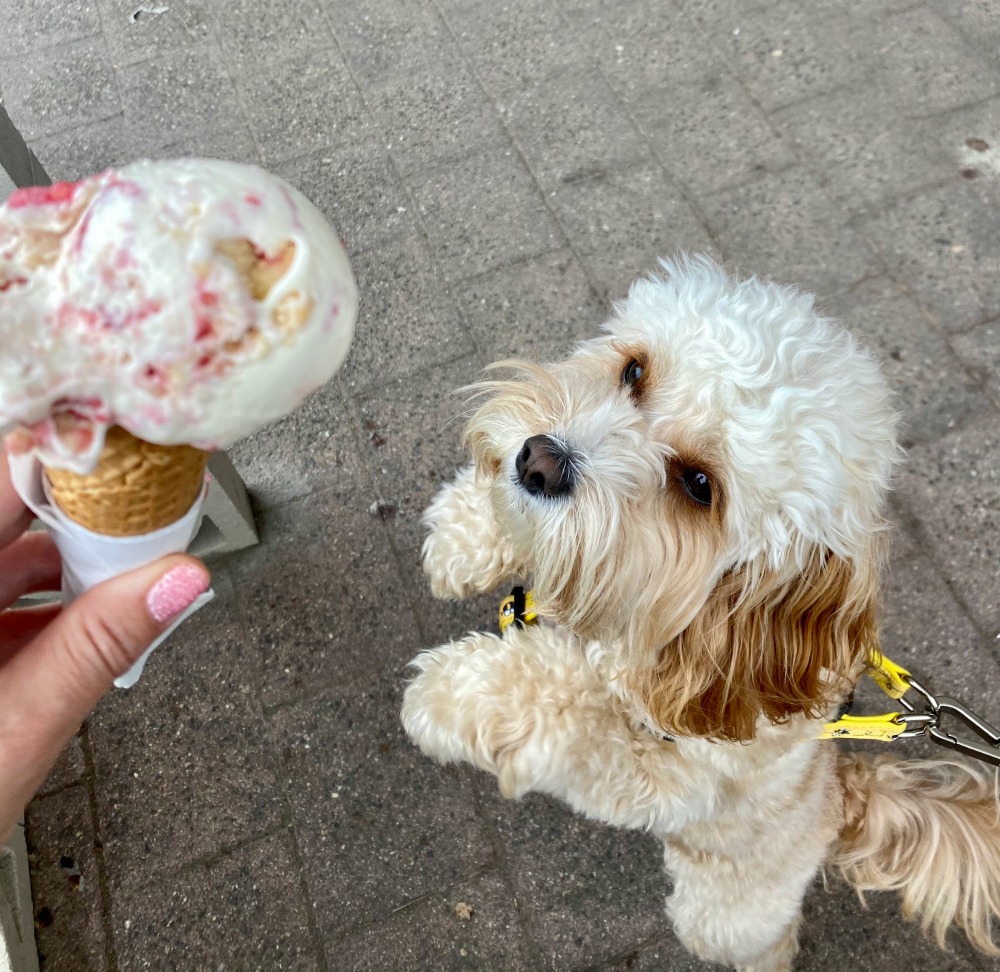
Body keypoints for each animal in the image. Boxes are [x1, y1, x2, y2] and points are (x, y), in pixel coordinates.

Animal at [398, 256, 1000, 972]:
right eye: (634, 371)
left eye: (698, 485)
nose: (536, 461)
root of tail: (845, 793)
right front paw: (466, 533)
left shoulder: (666, 772)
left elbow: (570, 706)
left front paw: (456, 694)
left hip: (727, 909)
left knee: (763, 939)